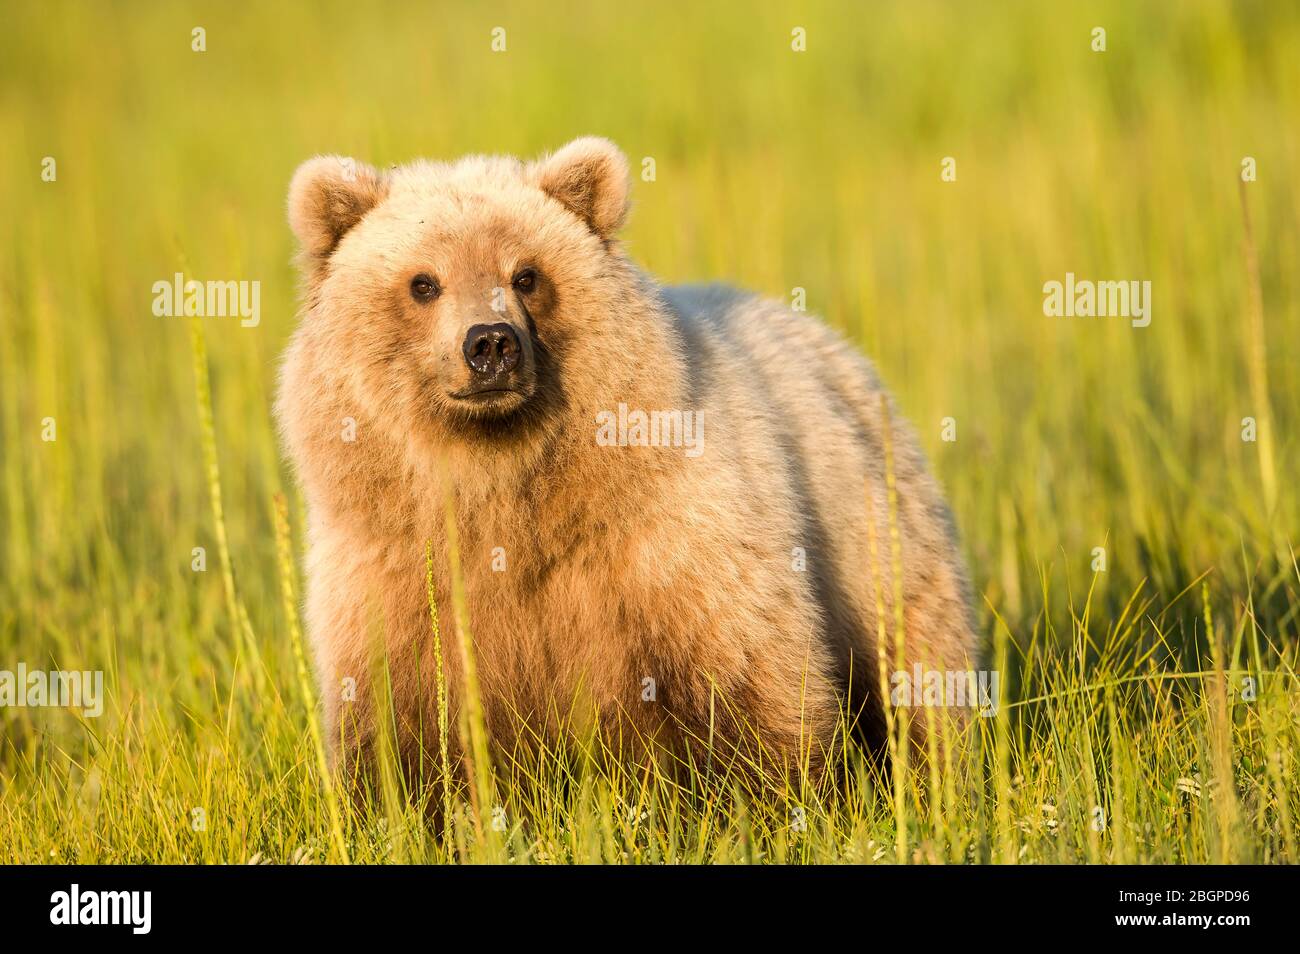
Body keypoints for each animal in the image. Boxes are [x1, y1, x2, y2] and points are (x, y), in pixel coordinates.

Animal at [282, 134, 977, 790]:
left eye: (526, 274)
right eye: (424, 282)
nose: (491, 345)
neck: (508, 484)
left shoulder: (668, 544)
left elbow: (749, 682)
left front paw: (775, 796)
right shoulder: (394, 575)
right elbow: (400, 727)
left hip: (875, 536)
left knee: (921, 671)